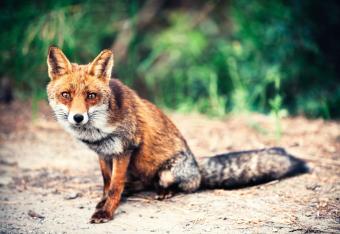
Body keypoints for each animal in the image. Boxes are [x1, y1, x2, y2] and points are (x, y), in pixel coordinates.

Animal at [45, 47, 308, 223]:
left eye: (91, 96)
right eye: (66, 95)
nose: (78, 118)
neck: (98, 130)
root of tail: (197, 167)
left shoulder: (125, 149)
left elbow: (114, 186)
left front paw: (106, 211)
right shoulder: (103, 152)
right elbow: (107, 183)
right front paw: (104, 201)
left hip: (168, 172)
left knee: (177, 185)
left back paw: (165, 192)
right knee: (139, 184)